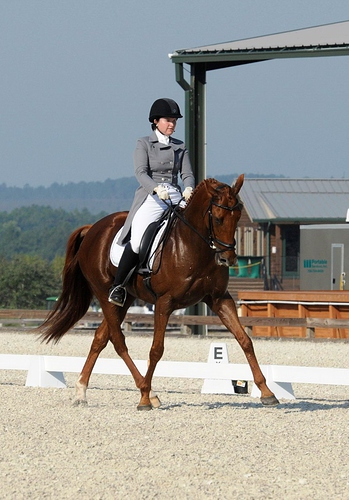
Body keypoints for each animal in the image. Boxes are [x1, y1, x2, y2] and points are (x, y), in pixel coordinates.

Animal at [38, 176, 278, 410]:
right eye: (218, 219)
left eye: (237, 217)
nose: (228, 259)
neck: (193, 246)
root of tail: (93, 228)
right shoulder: (164, 302)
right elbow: (156, 349)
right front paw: (144, 399)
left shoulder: (219, 299)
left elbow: (245, 340)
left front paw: (267, 392)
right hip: (104, 294)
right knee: (118, 341)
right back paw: (147, 393)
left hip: (125, 299)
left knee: (100, 338)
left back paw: (83, 391)